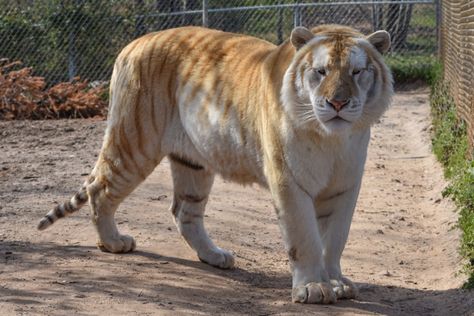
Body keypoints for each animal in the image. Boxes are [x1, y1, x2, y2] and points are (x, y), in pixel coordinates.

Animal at [38, 25, 392, 304]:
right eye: (321, 71)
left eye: (357, 72)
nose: (337, 103)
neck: (333, 139)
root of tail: (134, 43)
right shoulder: (289, 180)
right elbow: (304, 237)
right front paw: (314, 288)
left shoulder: (344, 186)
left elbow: (334, 239)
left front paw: (336, 283)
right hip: (134, 143)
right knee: (100, 189)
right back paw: (113, 242)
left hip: (193, 163)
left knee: (184, 212)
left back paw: (214, 256)